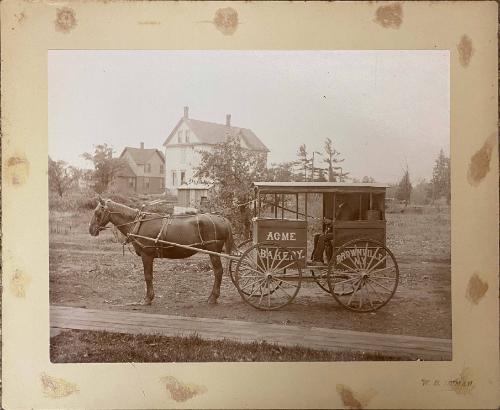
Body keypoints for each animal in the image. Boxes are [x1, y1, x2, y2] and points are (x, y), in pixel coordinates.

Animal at [89, 197, 235, 306]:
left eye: (97, 213)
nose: (91, 230)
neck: (138, 223)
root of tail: (224, 220)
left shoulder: (147, 255)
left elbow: (148, 276)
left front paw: (148, 298)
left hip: (213, 252)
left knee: (218, 272)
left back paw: (213, 297)